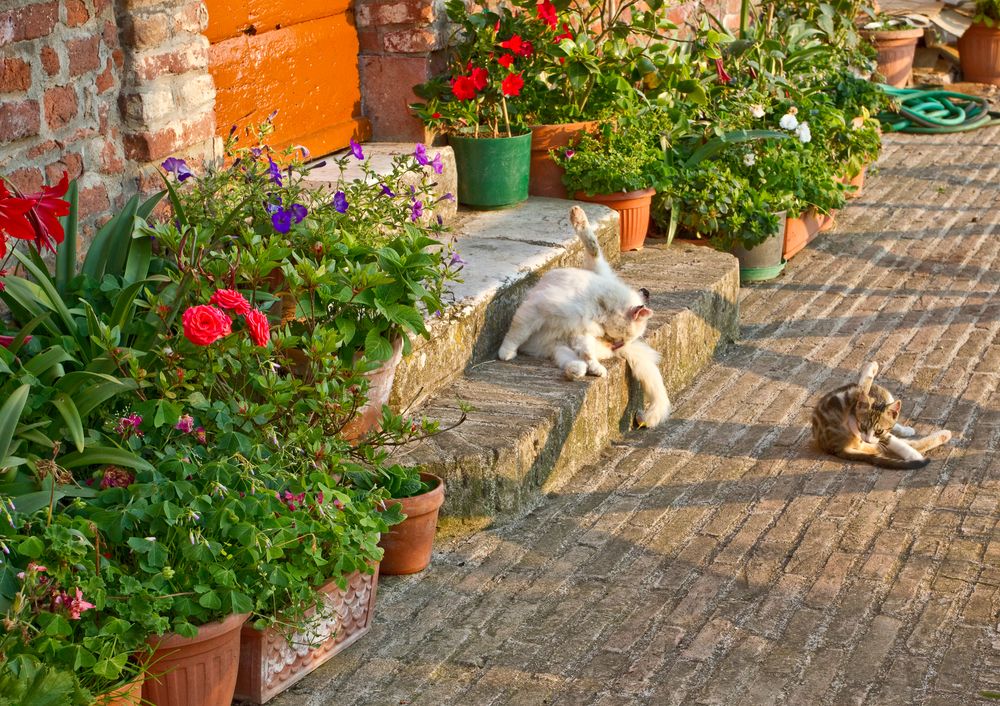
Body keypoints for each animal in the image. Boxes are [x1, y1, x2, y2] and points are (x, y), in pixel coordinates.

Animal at [498, 204, 672, 424]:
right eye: (623, 340)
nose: (615, 346)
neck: (599, 308)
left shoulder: (581, 332)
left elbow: (587, 351)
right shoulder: (535, 310)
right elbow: (516, 333)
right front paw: (506, 352)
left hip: (564, 346)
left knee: (579, 360)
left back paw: (584, 370)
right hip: (559, 344)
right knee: (574, 361)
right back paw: (578, 370)